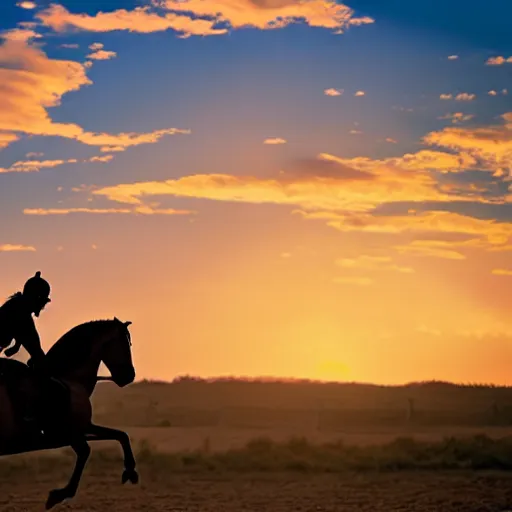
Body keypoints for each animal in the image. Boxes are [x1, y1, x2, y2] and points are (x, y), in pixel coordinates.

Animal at [0, 316, 138, 508]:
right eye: (124, 343)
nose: (129, 376)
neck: (71, 380)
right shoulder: (71, 434)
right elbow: (85, 452)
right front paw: (59, 495)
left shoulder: (84, 427)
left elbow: (120, 435)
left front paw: (130, 470)